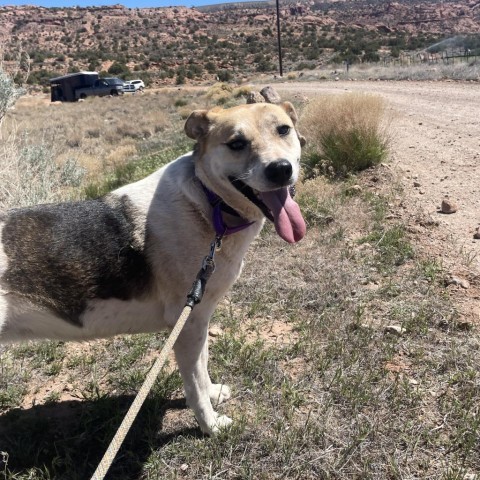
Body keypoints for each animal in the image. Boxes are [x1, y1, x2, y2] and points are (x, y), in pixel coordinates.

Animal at [0, 102, 306, 436]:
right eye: (236, 143)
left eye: (283, 129)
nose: (280, 169)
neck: (207, 202)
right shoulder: (185, 321)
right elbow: (194, 385)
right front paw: (210, 425)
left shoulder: (198, 316)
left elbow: (203, 366)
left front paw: (213, 394)